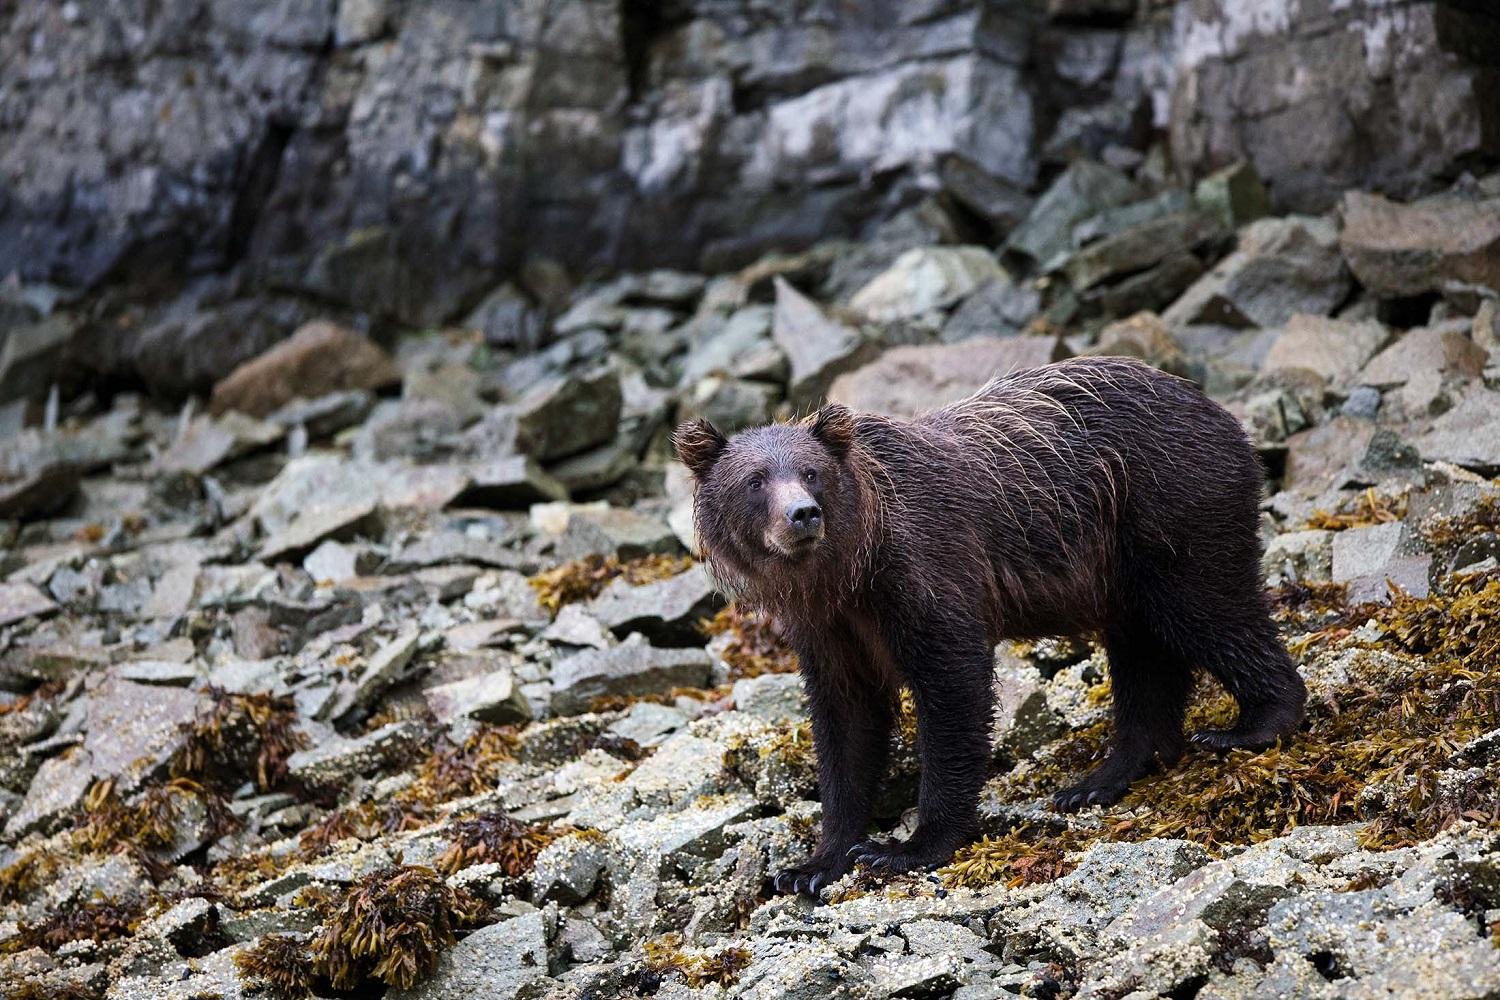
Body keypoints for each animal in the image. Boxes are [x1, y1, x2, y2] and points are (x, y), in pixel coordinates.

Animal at [673, 355, 1306, 897]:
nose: (802, 514)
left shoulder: (924, 571)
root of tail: (1220, 412)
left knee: (1209, 607)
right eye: (756, 479)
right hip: (1120, 569)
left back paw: (1251, 725)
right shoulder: (828, 629)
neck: (847, 572)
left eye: (811, 472)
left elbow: (953, 687)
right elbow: (846, 724)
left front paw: (905, 847)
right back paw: (1100, 778)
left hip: (1169, 510)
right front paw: (812, 865)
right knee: (1144, 654)